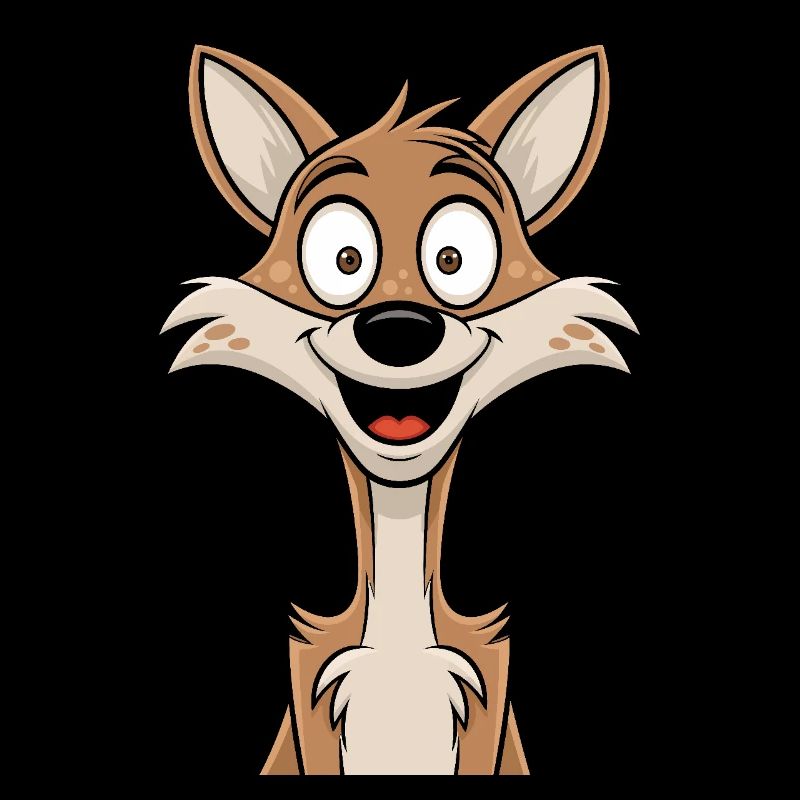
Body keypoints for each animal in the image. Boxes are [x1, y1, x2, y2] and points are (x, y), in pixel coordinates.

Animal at [162, 44, 637, 775]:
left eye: (454, 257)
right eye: (343, 258)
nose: (399, 328)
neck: (399, 653)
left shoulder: (487, 715)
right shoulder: (311, 715)